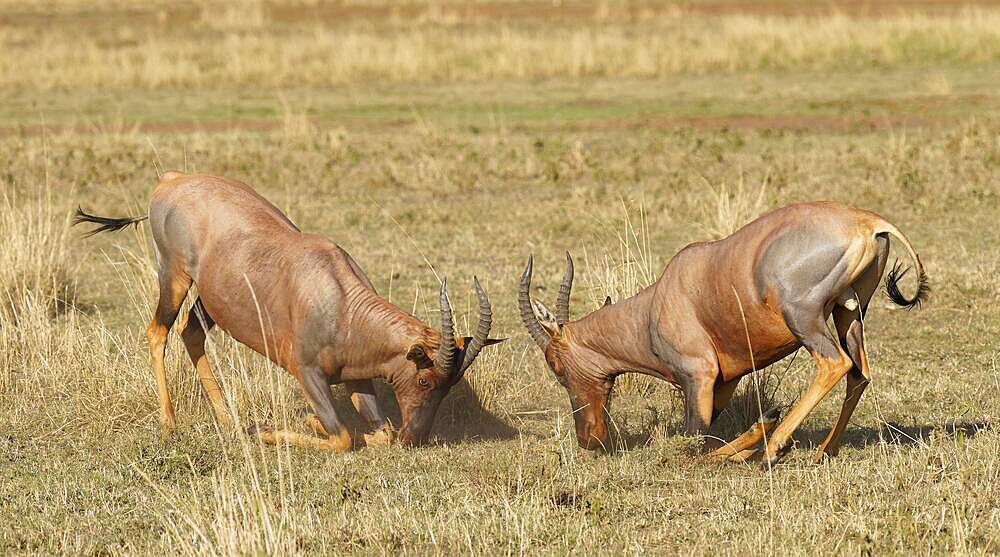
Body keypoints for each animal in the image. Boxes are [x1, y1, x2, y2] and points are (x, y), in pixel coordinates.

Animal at [74, 172, 504, 450]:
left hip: (212, 299)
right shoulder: (307, 373)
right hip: (175, 276)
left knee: (190, 333)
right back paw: (171, 425)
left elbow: (379, 435)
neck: (336, 295)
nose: (415, 438)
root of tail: (171, 180)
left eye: (450, 384)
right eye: (425, 380)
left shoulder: (357, 377)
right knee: (158, 331)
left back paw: (229, 422)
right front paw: (276, 429)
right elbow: (342, 437)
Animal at [520, 202, 924, 466]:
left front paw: (764, 434)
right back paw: (823, 450)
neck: (661, 298)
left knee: (835, 364)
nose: (590, 440)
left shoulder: (698, 377)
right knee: (859, 374)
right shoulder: (725, 383)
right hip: (850, 314)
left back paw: (773, 449)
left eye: (556, 365)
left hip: (804, 317)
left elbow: (693, 445)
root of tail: (867, 222)